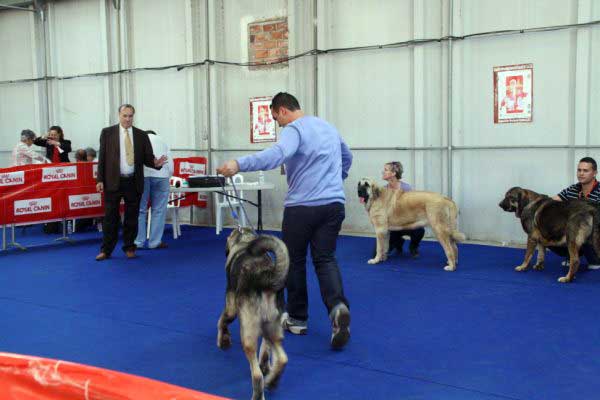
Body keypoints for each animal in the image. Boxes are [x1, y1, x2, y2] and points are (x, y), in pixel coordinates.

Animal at [217, 228, 290, 400]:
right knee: (282, 359)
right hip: (272, 327)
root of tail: (265, 277)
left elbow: (222, 320)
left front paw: (223, 340)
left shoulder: (231, 306)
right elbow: (266, 349)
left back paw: (258, 393)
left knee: (256, 375)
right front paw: (265, 363)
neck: (245, 241)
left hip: (248, 333)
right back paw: (272, 381)